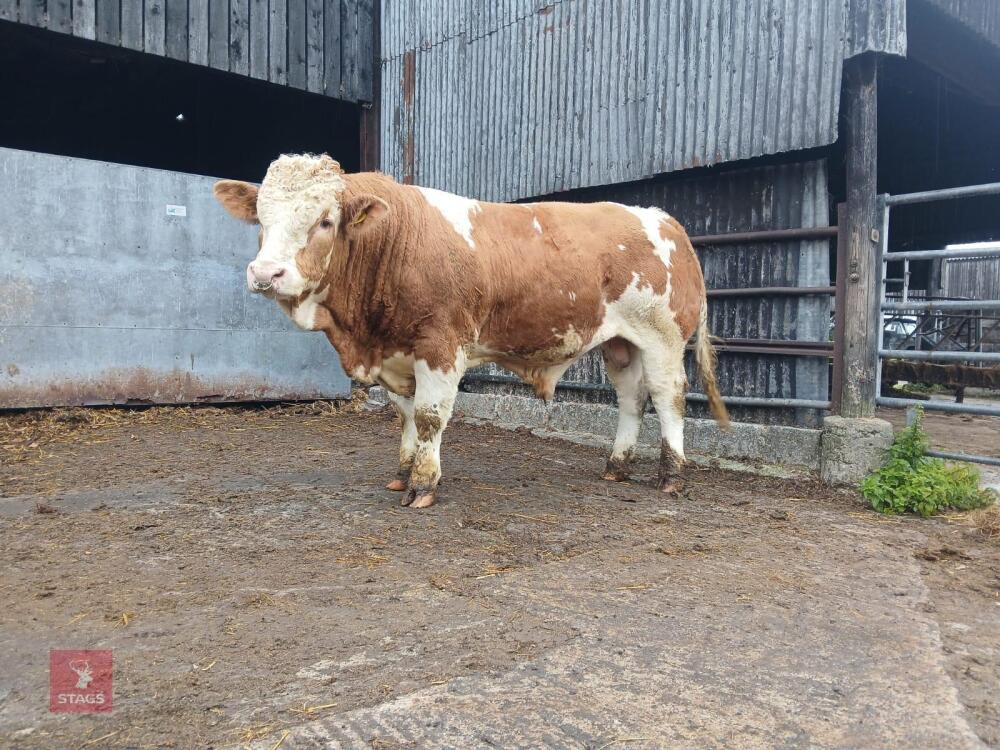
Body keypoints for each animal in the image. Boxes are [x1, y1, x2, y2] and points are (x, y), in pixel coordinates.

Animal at [214, 153, 729, 509]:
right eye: (261, 219)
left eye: (324, 220)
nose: (266, 273)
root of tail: (661, 217)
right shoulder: (397, 351)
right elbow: (405, 413)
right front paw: (403, 471)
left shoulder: (441, 343)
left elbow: (429, 416)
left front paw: (423, 485)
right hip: (621, 342)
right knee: (631, 398)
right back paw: (616, 467)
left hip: (663, 338)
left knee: (668, 396)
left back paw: (672, 475)